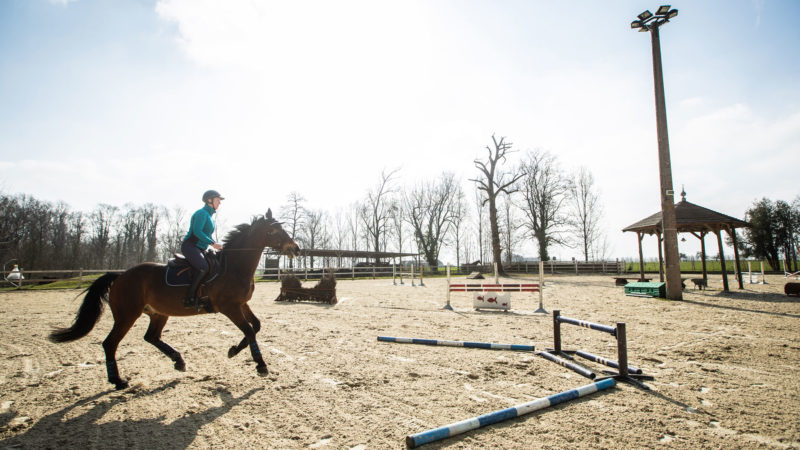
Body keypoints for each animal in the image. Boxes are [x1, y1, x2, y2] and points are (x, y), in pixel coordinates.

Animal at [49, 209, 300, 388]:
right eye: (274, 232)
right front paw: (261, 365)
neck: (234, 266)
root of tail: (120, 275)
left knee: (151, 337)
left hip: (158, 313)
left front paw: (233, 351)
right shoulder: (229, 307)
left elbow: (256, 326)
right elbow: (249, 330)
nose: (295, 249)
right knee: (110, 343)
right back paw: (118, 381)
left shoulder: (241, 304)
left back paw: (178, 360)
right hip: (127, 315)